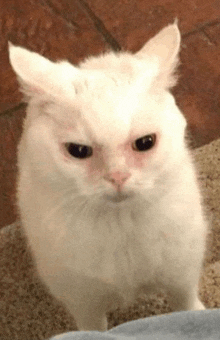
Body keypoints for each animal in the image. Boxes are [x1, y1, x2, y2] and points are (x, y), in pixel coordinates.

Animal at [9, 22, 208, 330]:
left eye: (145, 143)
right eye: (78, 150)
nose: (117, 177)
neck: (119, 223)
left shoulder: (181, 270)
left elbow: (185, 302)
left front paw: (196, 316)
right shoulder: (82, 301)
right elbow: (94, 327)